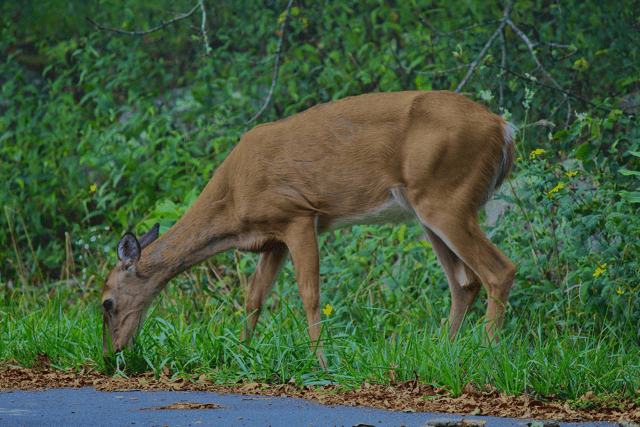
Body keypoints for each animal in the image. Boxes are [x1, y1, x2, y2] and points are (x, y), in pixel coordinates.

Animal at [102, 90, 516, 368]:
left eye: (106, 302)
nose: (110, 355)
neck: (233, 206)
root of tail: (505, 129)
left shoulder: (298, 215)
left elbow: (309, 295)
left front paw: (321, 363)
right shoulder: (271, 240)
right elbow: (254, 298)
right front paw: (241, 354)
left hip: (446, 198)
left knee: (500, 270)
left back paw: (487, 355)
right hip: (426, 211)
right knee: (464, 283)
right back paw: (444, 351)